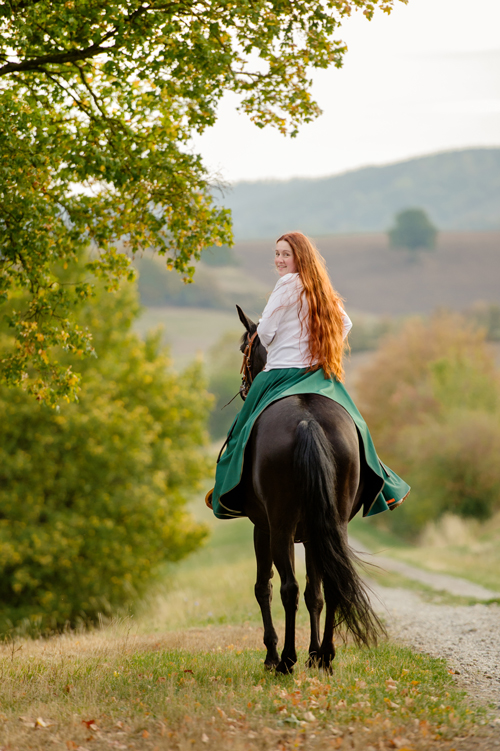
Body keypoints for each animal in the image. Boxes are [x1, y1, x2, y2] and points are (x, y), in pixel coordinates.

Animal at [232, 306, 384, 676]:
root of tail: (307, 420)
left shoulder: (262, 528)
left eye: (243, 347)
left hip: (281, 527)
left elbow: (264, 587)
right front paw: (314, 652)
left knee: (288, 587)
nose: (242, 387)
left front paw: (273, 655)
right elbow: (315, 592)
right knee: (331, 584)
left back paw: (286, 659)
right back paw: (326, 655)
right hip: (333, 523)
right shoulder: (316, 530)